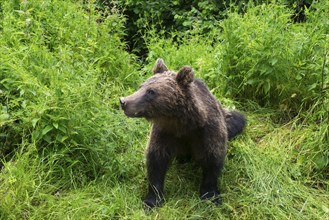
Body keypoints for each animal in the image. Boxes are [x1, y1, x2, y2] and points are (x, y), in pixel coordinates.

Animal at [119, 58, 245, 208]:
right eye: (141, 86)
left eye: (151, 91)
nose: (123, 101)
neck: (182, 124)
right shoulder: (165, 133)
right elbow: (156, 161)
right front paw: (152, 200)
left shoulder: (206, 133)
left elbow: (213, 160)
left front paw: (211, 196)